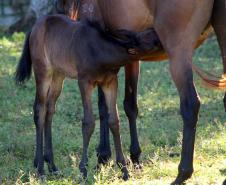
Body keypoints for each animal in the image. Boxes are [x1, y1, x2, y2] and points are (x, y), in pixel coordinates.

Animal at [55, 0, 226, 184]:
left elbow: (104, 107)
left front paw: (103, 157)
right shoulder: (129, 57)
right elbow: (129, 106)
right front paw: (134, 158)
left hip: (178, 52)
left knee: (190, 105)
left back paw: (182, 174)